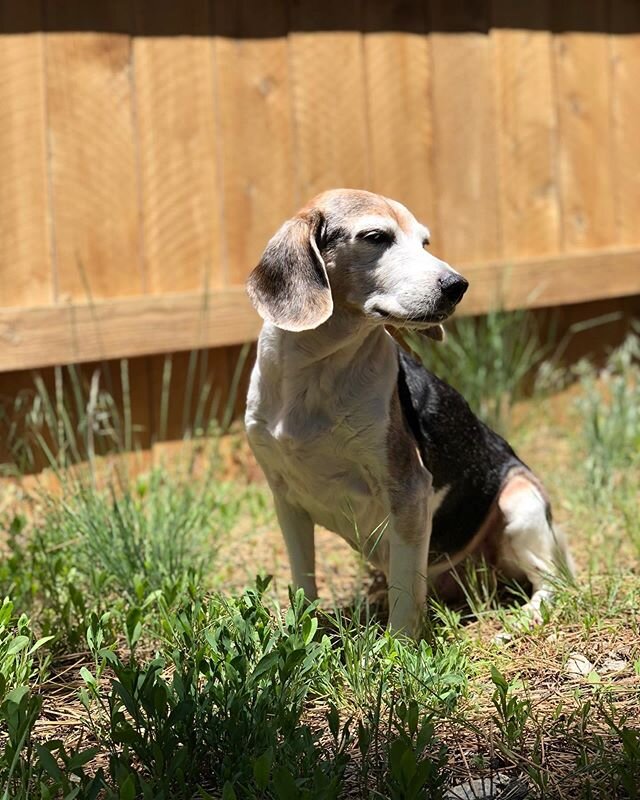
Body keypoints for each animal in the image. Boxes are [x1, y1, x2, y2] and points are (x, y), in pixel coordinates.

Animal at [246, 188, 576, 636]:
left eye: (425, 242)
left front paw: (399, 645)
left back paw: (525, 615)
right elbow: (303, 579)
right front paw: (302, 631)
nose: (457, 286)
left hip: (520, 503)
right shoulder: (287, 498)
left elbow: (404, 592)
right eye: (376, 237)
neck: (317, 371)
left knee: (550, 583)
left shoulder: (408, 490)